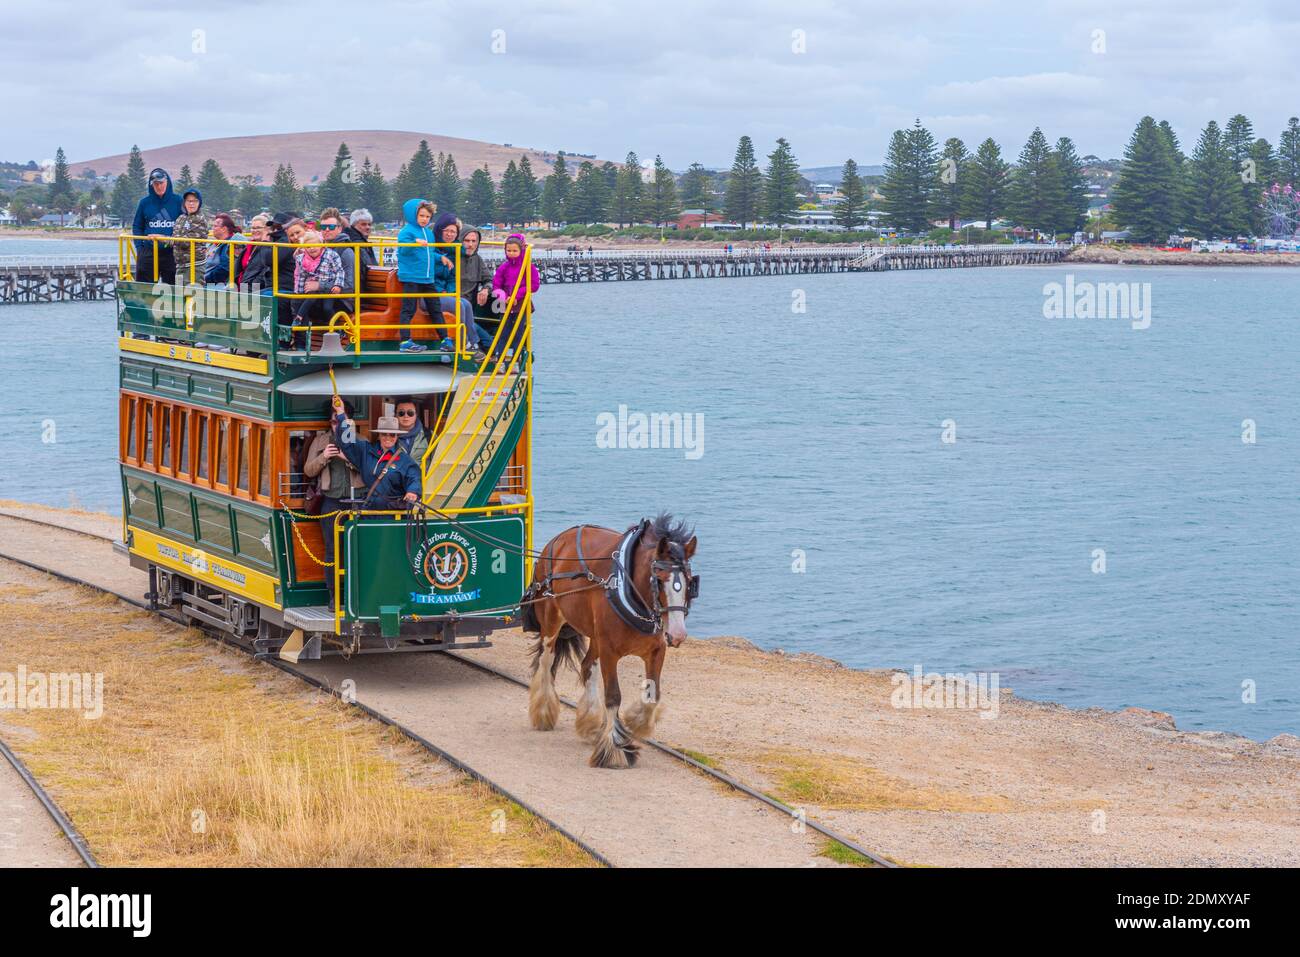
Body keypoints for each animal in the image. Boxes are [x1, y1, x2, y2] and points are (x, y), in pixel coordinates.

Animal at [520, 514, 702, 769]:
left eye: (688, 581)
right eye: (658, 580)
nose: (677, 634)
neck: (629, 592)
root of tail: (559, 539)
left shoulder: (657, 650)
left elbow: (653, 694)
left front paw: (635, 724)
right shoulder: (609, 652)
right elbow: (614, 696)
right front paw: (614, 749)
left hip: (594, 635)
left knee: (587, 666)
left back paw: (590, 722)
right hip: (551, 619)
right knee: (546, 662)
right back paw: (544, 712)